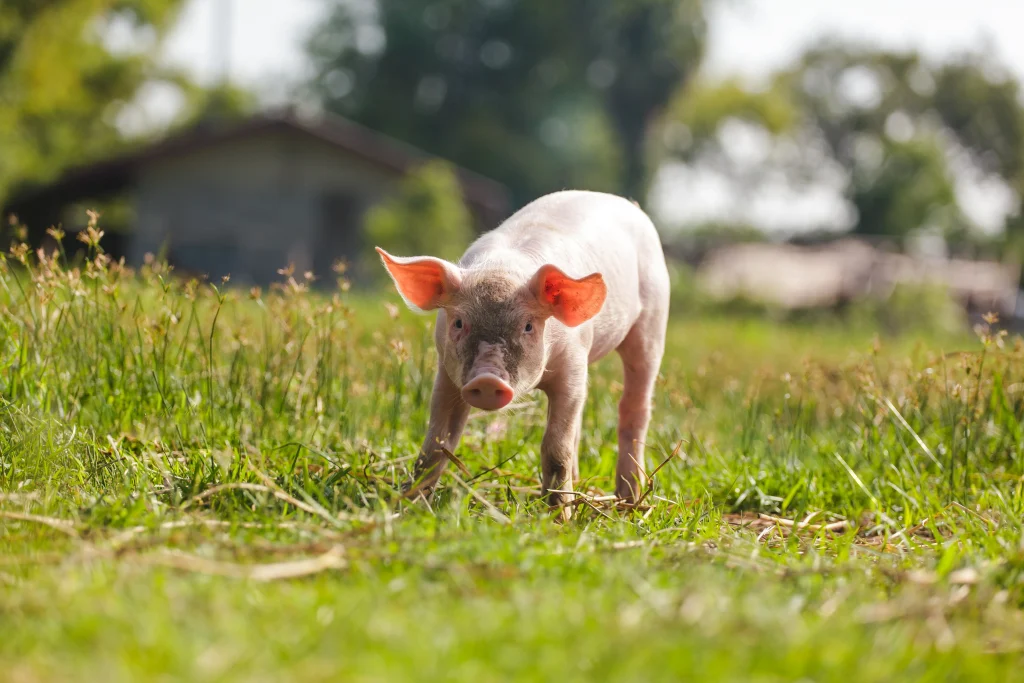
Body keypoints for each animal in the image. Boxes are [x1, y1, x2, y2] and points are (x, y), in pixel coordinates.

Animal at [376, 189, 671, 516]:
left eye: (528, 326)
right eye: (459, 322)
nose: (487, 380)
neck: (503, 269)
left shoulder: (572, 363)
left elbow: (555, 447)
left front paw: (559, 518)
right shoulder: (447, 372)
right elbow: (437, 443)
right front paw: (407, 504)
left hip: (653, 320)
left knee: (635, 406)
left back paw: (629, 502)